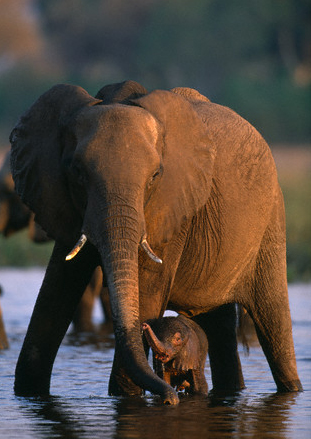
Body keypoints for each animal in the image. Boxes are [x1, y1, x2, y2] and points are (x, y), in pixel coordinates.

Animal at [9, 80, 302, 406]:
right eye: (77, 173)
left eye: (155, 176)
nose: (171, 399)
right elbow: (55, 294)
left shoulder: (173, 209)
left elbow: (146, 294)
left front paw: (130, 399)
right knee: (220, 325)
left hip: (271, 221)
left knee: (274, 324)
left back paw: (291, 389)